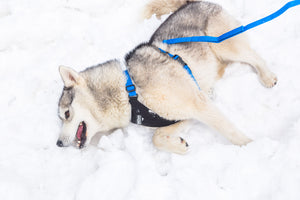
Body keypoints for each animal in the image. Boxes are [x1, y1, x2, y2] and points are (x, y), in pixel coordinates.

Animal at [55, 0, 276, 154]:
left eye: (66, 114)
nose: (58, 143)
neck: (129, 92)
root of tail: (192, 2)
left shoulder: (197, 103)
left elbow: (228, 129)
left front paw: (250, 146)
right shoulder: (185, 113)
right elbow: (157, 137)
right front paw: (179, 145)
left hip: (224, 44)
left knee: (254, 56)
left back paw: (267, 76)